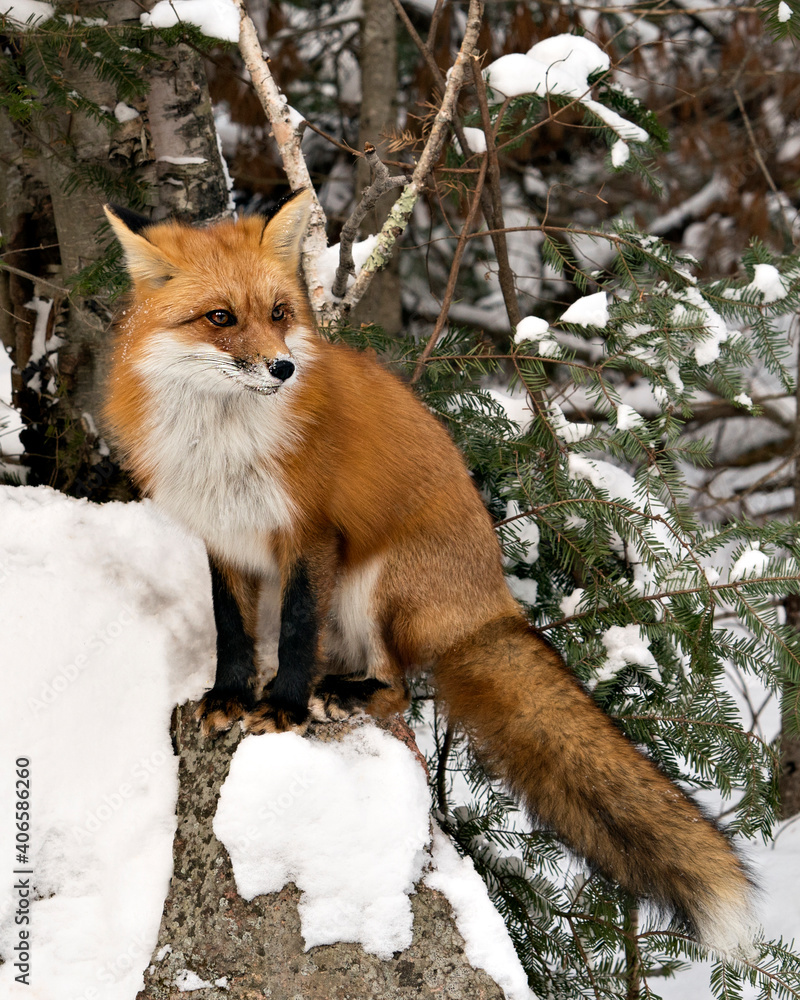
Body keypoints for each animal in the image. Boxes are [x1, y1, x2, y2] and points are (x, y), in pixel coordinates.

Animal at [103, 189, 757, 957]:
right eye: (220, 318)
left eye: (280, 313)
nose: (283, 368)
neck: (224, 444)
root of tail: (492, 605)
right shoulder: (220, 537)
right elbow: (233, 631)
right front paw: (230, 698)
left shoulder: (311, 533)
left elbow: (295, 629)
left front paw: (284, 709)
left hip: (377, 584)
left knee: (396, 692)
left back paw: (341, 696)